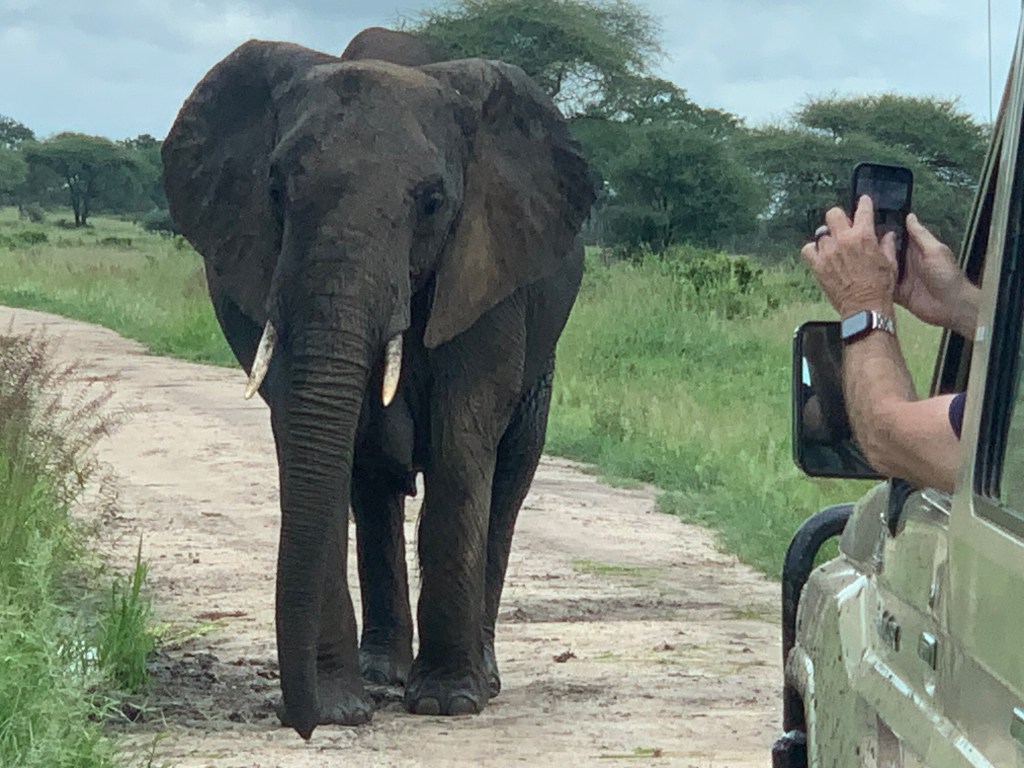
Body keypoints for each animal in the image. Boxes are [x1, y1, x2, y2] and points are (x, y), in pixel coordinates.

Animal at [162, 28, 594, 740]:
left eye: (432, 202)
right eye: (274, 189)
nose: (301, 723)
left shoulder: (485, 264)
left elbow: (461, 440)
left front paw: (448, 703)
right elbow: (310, 441)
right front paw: (340, 708)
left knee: (506, 483)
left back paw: (482, 678)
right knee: (371, 487)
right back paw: (380, 674)